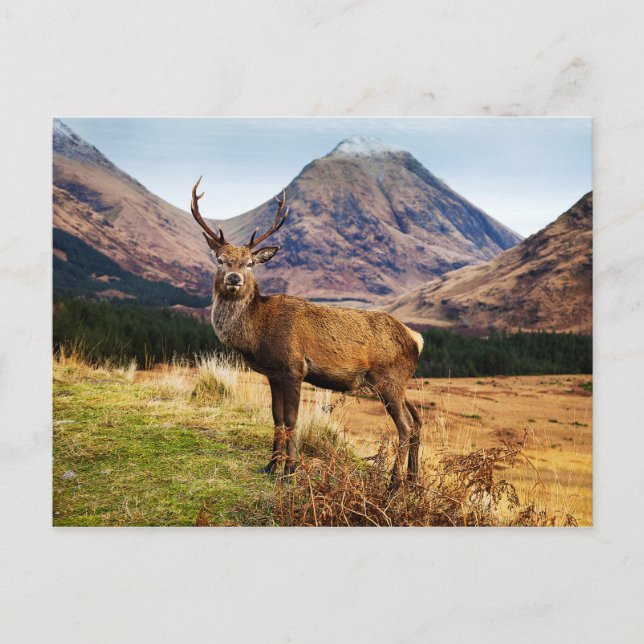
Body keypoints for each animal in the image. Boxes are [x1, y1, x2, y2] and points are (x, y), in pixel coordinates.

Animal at [191, 177, 425, 487]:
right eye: (220, 259)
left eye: (250, 263)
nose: (234, 278)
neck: (258, 333)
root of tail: (417, 339)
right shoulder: (273, 374)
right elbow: (276, 418)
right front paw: (270, 466)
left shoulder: (294, 368)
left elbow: (291, 419)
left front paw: (290, 471)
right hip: (399, 383)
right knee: (418, 419)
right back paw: (413, 481)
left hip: (389, 379)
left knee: (405, 426)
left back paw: (393, 484)